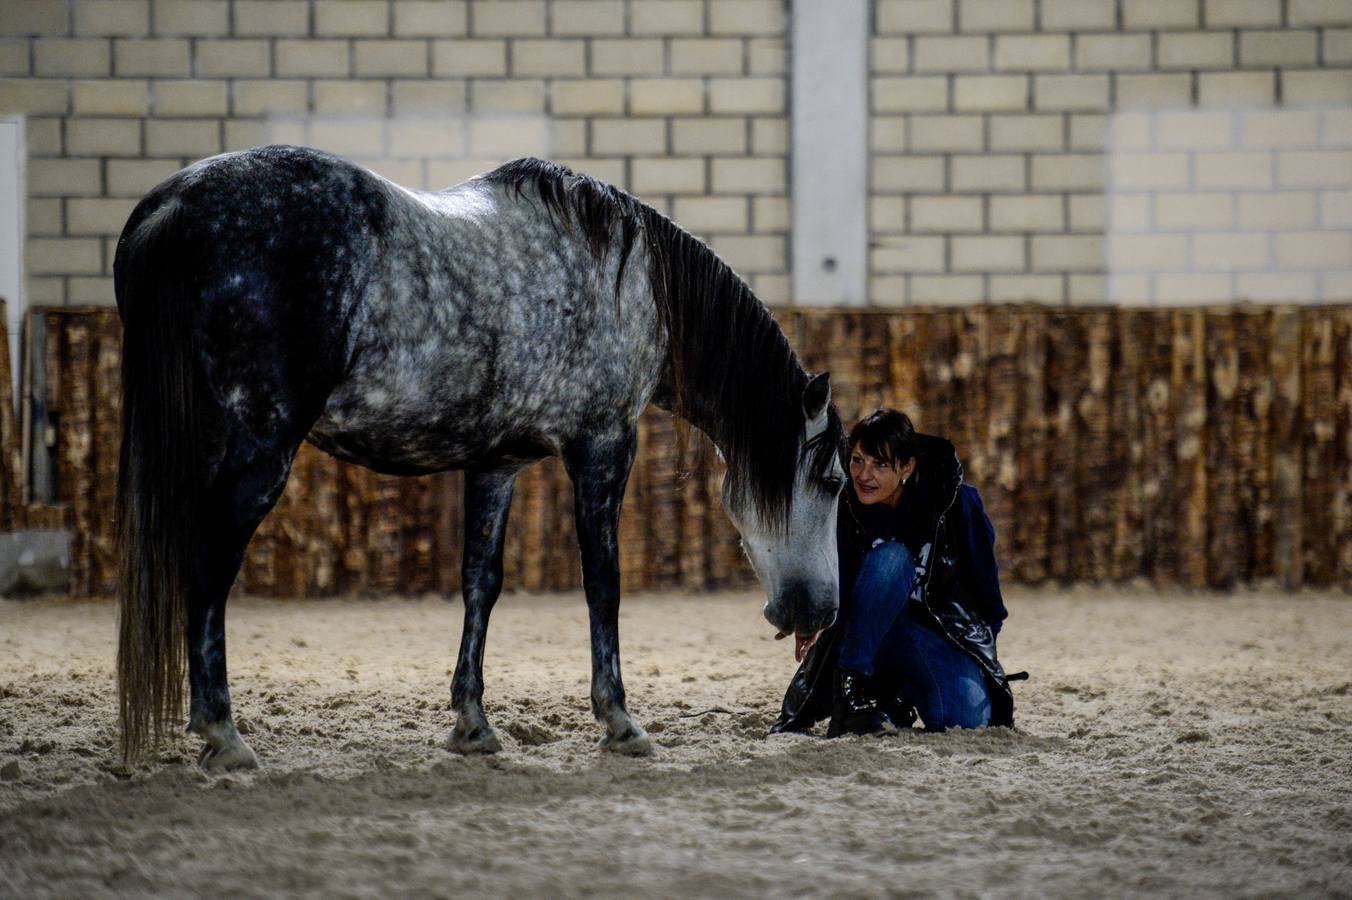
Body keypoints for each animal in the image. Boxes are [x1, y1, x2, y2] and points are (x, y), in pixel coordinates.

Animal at [113, 143, 843, 767]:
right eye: (834, 481)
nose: (824, 613)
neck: (627, 282)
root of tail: (176, 203)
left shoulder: (497, 465)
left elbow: (480, 582)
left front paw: (472, 724)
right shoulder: (604, 445)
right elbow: (602, 583)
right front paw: (619, 721)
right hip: (261, 446)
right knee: (210, 564)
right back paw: (223, 733)